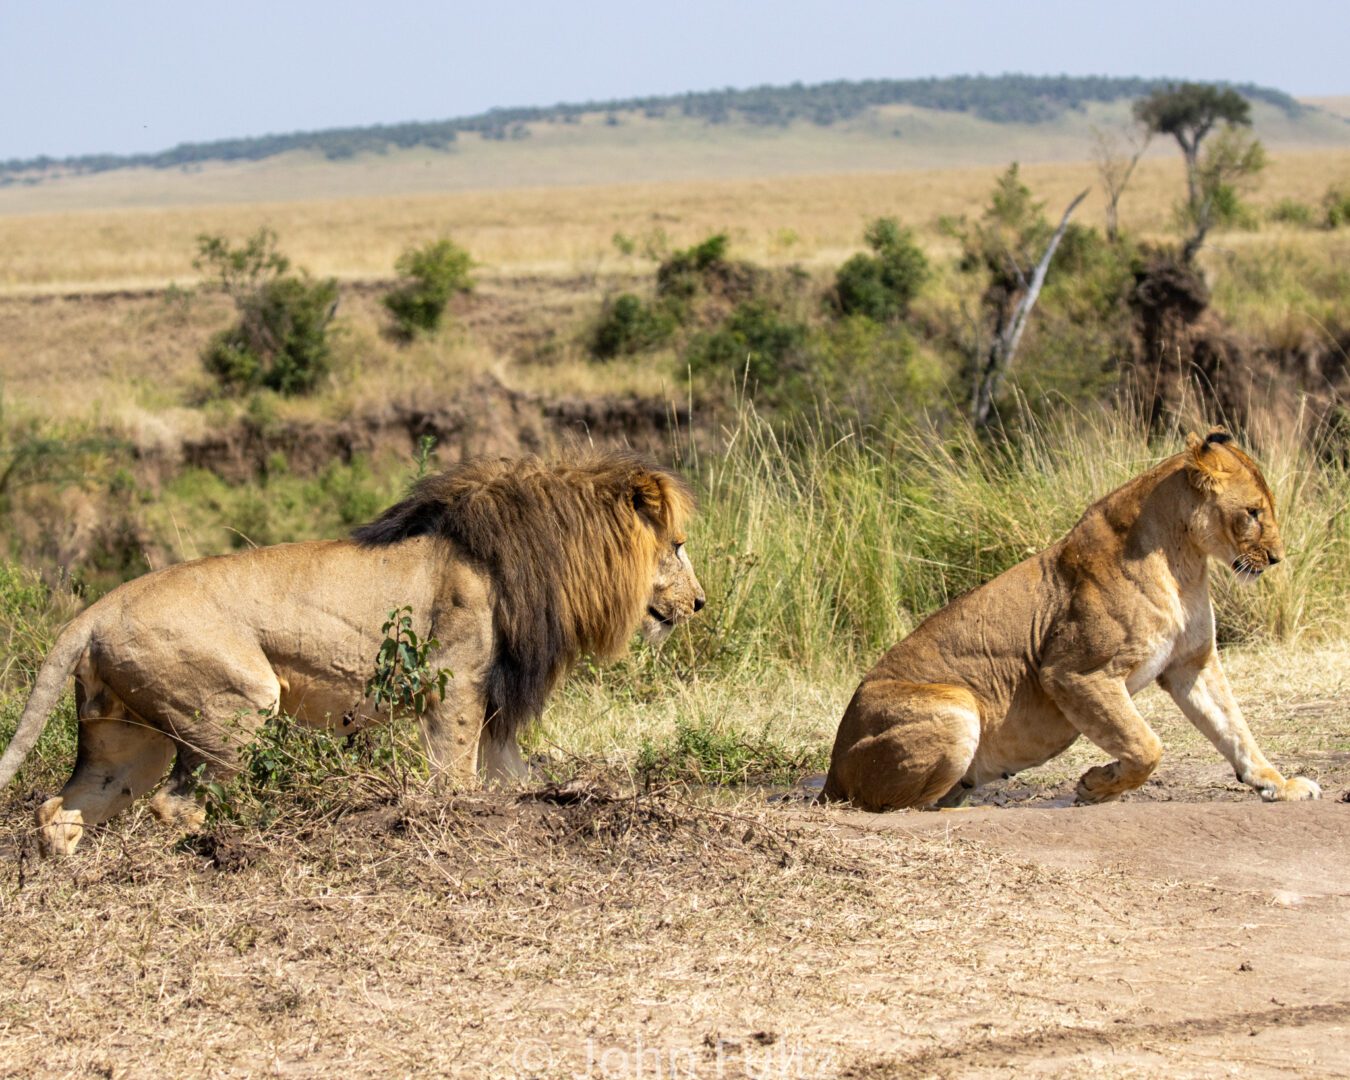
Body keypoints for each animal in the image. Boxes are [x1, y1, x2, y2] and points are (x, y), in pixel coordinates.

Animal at [2, 448, 707, 853]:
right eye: (675, 546)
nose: (700, 603)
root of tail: (95, 610)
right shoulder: (456, 685)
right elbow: (455, 774)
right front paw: (458, 820)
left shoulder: (497, 700)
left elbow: (510, 773)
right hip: (236, 701)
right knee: (173, 805)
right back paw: (232, 843)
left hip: (127, 737)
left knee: (61, 807)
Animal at [820, 429, 1317, 810]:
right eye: (1252, 513)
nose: (1276, 558)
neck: (1184, 563)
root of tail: (831, 772)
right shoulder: (1073, 672)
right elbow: (1146, 745)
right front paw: (1097, 786)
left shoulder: (1191, 664)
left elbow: (1234, 729)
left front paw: (1278, 783)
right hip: (957, 706)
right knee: (893, 805)